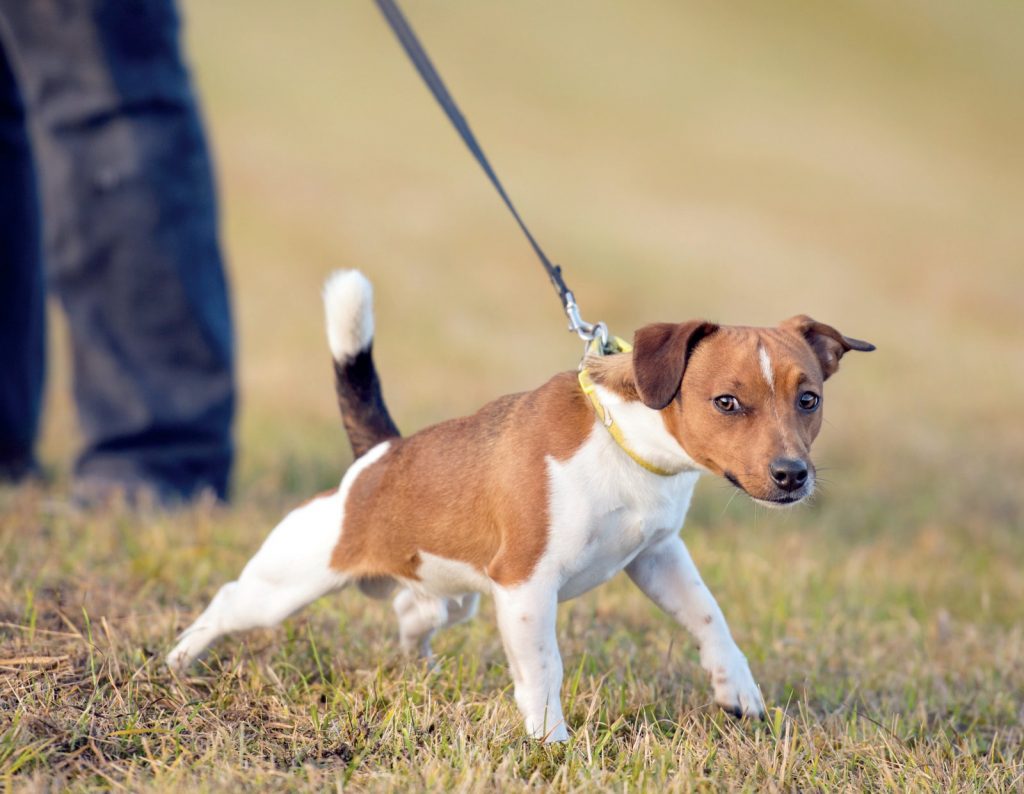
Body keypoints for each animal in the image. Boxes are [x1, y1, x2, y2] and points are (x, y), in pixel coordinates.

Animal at [167, 270, 872, 741]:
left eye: (809, 399)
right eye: (727, 402)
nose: (793, 476)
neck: (624, 446)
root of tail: (379, 456)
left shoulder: (656, 557)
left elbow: (709, 617)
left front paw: (738, 690)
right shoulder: (527, 585)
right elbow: (543, 670)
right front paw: (551, 743)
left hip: (452, 597)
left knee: (410, 613)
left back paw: (419, 672)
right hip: (286, 584)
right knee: (229, 602)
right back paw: (177, 662)